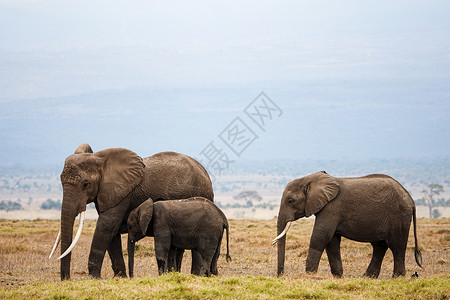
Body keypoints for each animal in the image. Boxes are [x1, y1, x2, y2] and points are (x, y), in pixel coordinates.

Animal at [48, 143, 214, 278]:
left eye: (86, 184)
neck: (100, 159)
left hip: (201, 194)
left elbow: (106, 226)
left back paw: (195, 276)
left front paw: (93, 278)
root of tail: (205, 172)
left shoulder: (123, 193)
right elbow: (112, 232)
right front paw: (119, 277)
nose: (66, 279)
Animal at [272, 171, 424, 278]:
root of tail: (410, 198)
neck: (311, 179)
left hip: (399, 216)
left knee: (397, 247)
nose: (281, 275)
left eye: (290, 201)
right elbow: (331, 241)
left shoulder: (332, 208)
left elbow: (320, 237)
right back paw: (367, 277)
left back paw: (397, 278)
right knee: (380, 246)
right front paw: (338, 276)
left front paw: (309, 274)